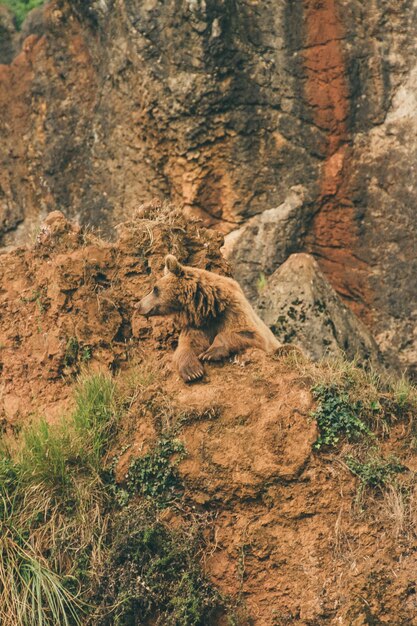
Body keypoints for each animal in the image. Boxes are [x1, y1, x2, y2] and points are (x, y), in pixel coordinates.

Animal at [135, 254, 282, 380]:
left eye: (155, 289)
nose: (138, 305)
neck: (207, 307)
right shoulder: (198, 325)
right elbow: (187, 345)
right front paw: (192, 371)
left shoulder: (232, 311)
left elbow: (249, 333)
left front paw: (209, 354)